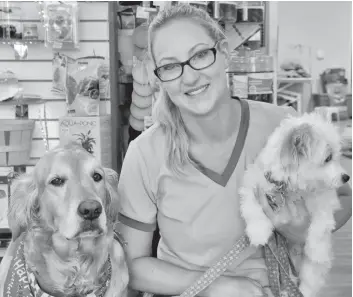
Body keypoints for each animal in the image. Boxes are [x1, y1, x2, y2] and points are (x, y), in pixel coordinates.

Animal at [238, 111, 348, 296]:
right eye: (328, 158)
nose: (346, 177)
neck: (291, 189)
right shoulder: (253, 184)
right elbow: (252, 207)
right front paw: (259, 232)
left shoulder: (325, 202)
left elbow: (320, 227)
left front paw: (316, 250)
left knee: (309, 281)